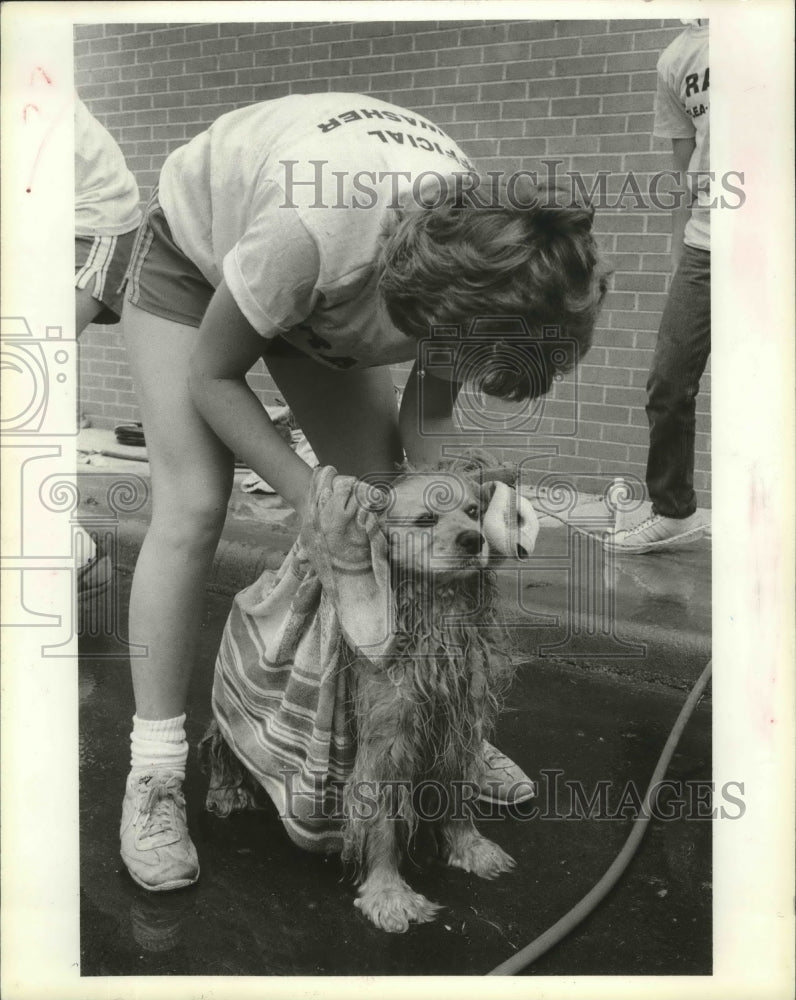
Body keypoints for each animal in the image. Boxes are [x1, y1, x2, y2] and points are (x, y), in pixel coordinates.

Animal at [202, 472, 520, 932]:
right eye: (426, 519)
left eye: (475, 511)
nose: (473, 540)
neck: (437, 612)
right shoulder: (387, 737)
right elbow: (382, 822)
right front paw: (389, 895)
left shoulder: (460, 720)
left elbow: (459, 790)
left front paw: (470, 848)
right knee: (220, 739)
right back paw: (227, 790)